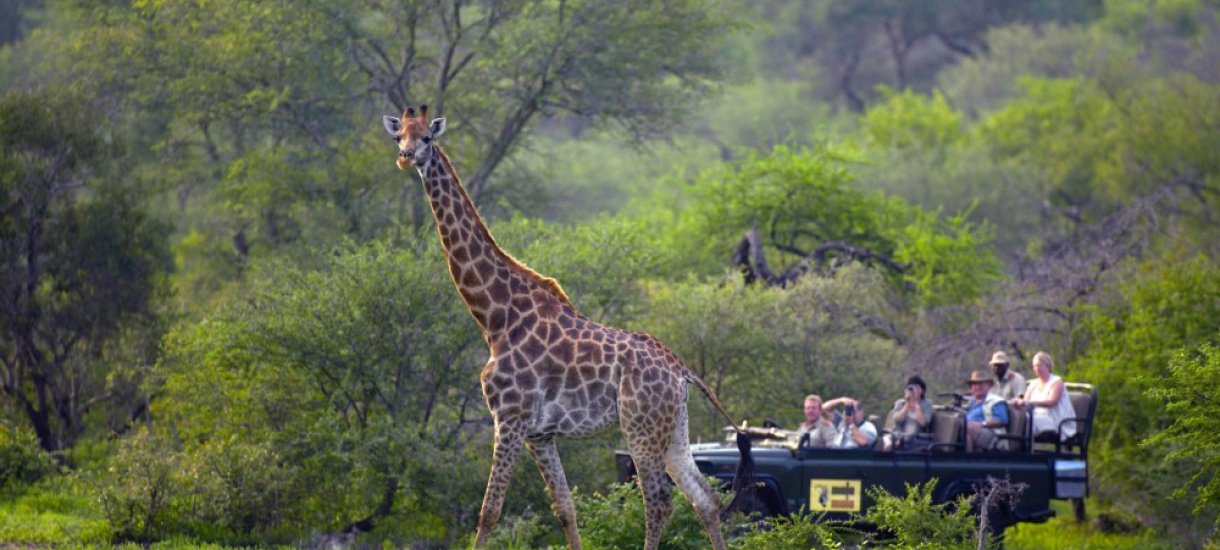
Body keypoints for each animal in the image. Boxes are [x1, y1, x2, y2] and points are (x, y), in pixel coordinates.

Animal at [385, 105, 751, 548]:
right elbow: (566, 509)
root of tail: (682, 370)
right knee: (706, 499)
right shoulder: (540, 434)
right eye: (398, 136)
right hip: (674, 429)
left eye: (427, 139)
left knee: (659, 504)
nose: (405, 158)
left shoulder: (509, 419)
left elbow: (489, 512)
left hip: (640, 429)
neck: (495, 318)